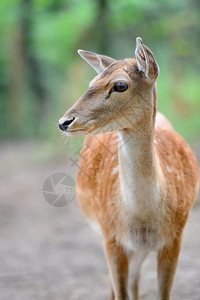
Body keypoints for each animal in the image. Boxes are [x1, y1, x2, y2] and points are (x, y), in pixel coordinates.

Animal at [58, 38, 198, 300]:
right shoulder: (110, 235)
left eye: (120, 85)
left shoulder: (175, 236)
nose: (64, 122)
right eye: (91, 82)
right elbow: (119, 291)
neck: (142, 218)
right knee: (117, 285)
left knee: (135, 280)